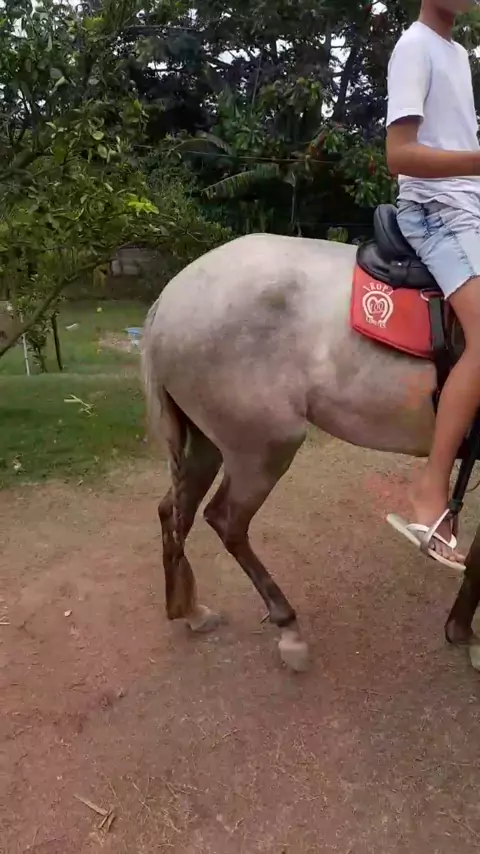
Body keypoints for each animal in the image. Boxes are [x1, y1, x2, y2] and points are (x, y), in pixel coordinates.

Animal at [142, 204, 480, 672]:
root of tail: (170, 298)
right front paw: (467, 636)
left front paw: (461, 630)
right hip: (266, 447)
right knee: (226, 521)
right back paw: (289, 629)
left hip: (207, 442)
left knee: (175, 511)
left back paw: (190, 610)